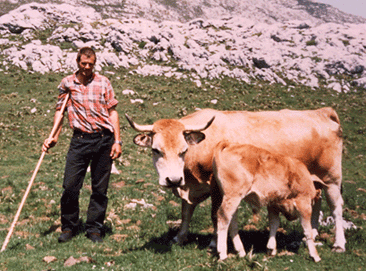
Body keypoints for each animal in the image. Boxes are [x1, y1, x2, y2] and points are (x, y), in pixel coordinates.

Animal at [124, 108, 344, 253]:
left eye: (183, 150)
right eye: (156, 150)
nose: (173, 179)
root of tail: (322, 112)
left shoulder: (215, 187)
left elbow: (215, 215)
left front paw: (214, 243)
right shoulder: (188, 186)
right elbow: (186, 212)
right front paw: (179, 237)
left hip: (332, 179)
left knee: (336, 209)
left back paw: (339, 244)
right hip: (313, 182)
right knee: (316, 205)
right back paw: (312, 236)